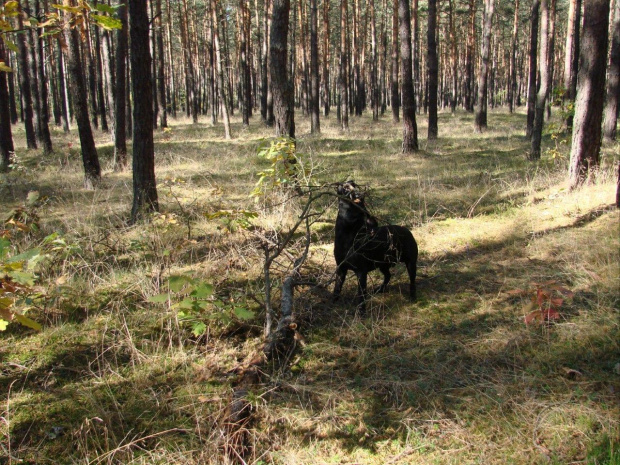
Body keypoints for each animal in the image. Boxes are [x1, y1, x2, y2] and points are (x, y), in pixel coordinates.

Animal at [334, 181, 416, 312]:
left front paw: (361, 312)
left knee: (412, 281)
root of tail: (407, 230)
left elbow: (361, 295)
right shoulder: (341, 269)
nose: (358, 192)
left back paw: (413, 296)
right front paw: (332, 303)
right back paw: (379, 290)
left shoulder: (361, 272)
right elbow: (336, 289)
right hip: (383, 264)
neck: (347, 237)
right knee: (388, 275)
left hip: (411, 263)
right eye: (345, 187)